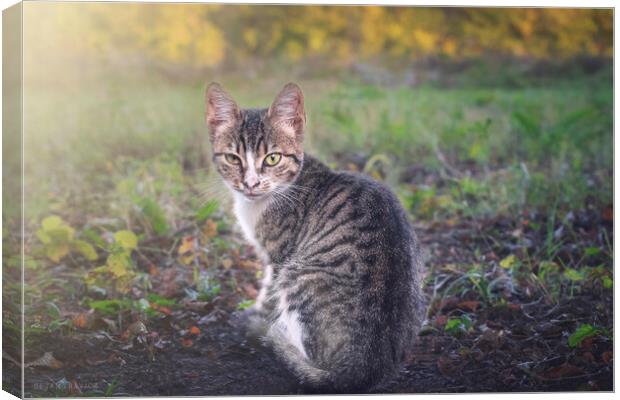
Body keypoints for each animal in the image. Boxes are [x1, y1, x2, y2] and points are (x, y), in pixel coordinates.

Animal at [206, 83, 424, 392]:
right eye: (232, 158)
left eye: (272, 158)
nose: (250, 183)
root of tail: (362, 369)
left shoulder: (278, 257)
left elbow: (267, 294)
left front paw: (256, 318)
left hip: (297, 275)